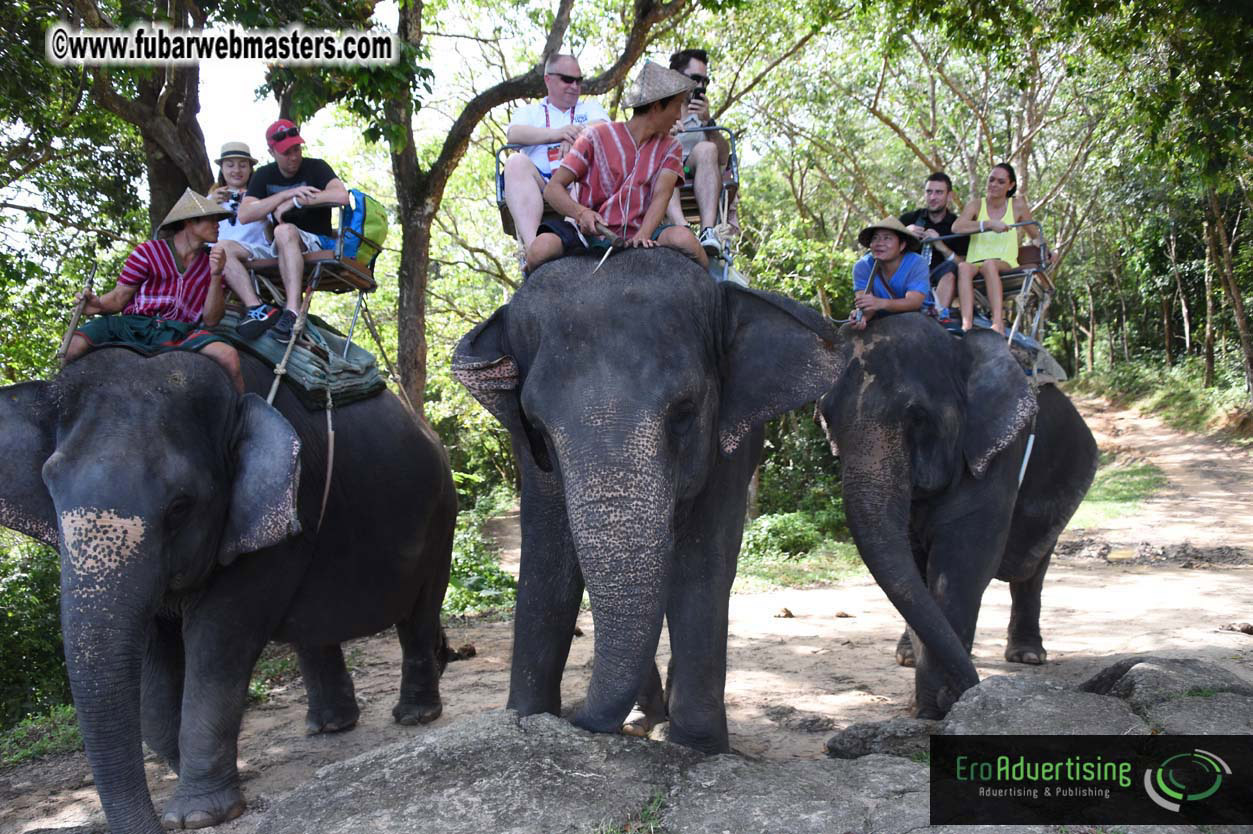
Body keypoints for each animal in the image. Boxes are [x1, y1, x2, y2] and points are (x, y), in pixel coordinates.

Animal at [0, 346, 456, 834]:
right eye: (50, 491)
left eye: (180, 506)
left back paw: (415, 717)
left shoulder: (280, 508)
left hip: (441, 514)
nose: (159, 824)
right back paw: (328, 727)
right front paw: (202, 788)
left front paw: (197, 816)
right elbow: (152, 665)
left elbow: (219, 640)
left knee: (420, 612)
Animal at [453, 248, 841, 754]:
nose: (579, 720)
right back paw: (642, 718)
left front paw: (699, 749)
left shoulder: (729, 446)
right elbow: (547, 557)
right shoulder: (527, 455)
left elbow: (701, 562)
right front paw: (523, 720)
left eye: (684, 412)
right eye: (537, 427)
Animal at [816, 313, 1097, 721]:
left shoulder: (998, 452)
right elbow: (917, 567)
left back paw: (1027, 656)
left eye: (917, 416)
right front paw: (933, 703)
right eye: (826, 419)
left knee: (1031, 567)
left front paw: (938, 707)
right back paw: (906, 657)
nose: (966, 688)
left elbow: (962, 562)